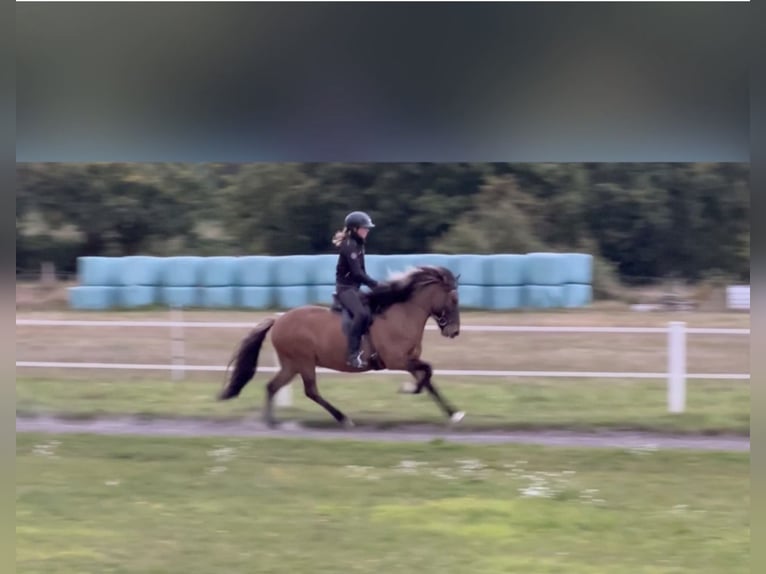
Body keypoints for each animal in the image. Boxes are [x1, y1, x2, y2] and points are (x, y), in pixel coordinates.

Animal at [219, 266, 464, 428]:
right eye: (453, 299)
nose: (454, 332)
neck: (402, 315)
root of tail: (279, 320)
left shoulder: (410, 361)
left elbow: (429, 381)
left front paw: (454, 414)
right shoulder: (398, 361)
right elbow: (428, 372)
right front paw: (409, 389)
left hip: (291, 365)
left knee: (273, 387)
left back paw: (270, 422)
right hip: (303, 362)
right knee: (310, 391)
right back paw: (342, 418)